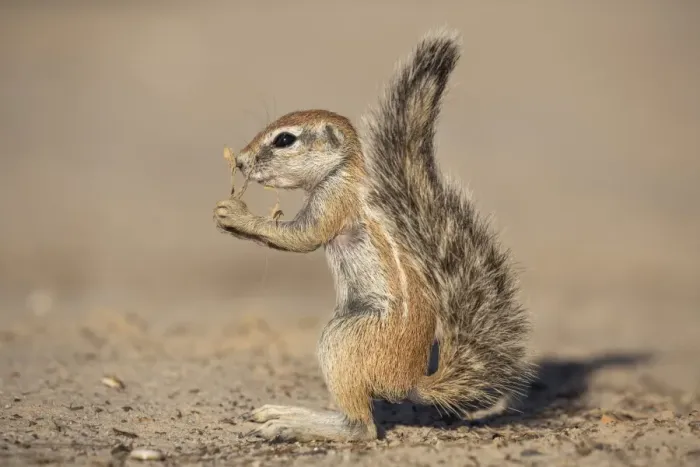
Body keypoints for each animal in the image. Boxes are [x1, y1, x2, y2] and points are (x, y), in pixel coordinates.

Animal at [214, 28, 533, 443]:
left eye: (285, 140)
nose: (239, 160)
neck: (345, 170)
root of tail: (410, 381)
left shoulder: (334, 201)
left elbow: (303, 238)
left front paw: (235, 215)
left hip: (344, 339)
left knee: (361, 427)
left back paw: (290, 423)